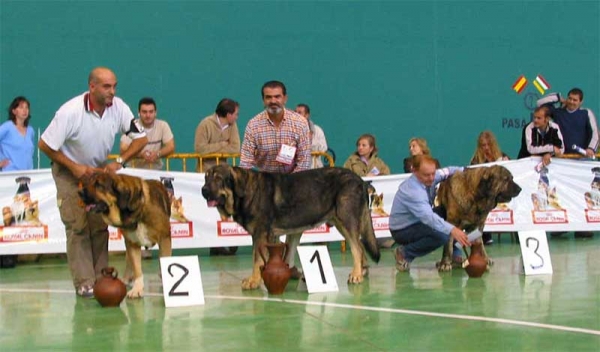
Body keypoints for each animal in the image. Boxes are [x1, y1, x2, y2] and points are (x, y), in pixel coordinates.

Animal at [202, 164, 380, 288]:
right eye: (206, 178)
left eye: (218, 179)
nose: (203, 190)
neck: (246, 191)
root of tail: (361, 181)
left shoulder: (260, 234)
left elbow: (257, 259)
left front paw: (254, 281)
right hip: (340, 223)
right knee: (360, 247)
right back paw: (362, 271)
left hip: (347, 220)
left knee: (357, 248)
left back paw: (356, 274)